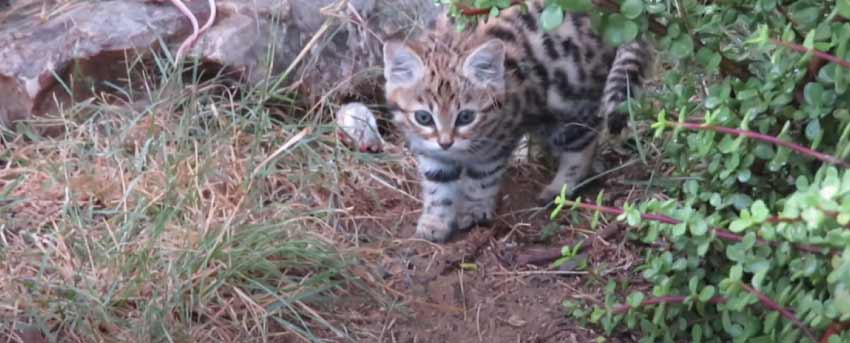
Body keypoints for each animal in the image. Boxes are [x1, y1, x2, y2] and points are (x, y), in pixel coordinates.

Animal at [382, 0, 648, 242]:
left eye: (466, 117)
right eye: (423, 117)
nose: (446, 142)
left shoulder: (498, 141)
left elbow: (482, 178)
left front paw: (474, 209)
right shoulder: (429, 150)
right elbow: (438, 183)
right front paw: (435, 220)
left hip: (569, 102)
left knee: (583, 144)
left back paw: (560, 187)